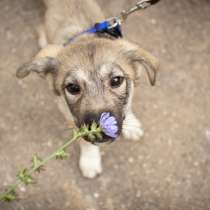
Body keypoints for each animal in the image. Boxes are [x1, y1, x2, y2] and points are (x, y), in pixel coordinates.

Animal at [16, 0, 158, 179]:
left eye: (116, 80)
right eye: (73, 87)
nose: (101, 132)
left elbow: (129, 104)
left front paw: (131, 124)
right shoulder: (69, 114)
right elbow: (84, 141)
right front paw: (90, 160)